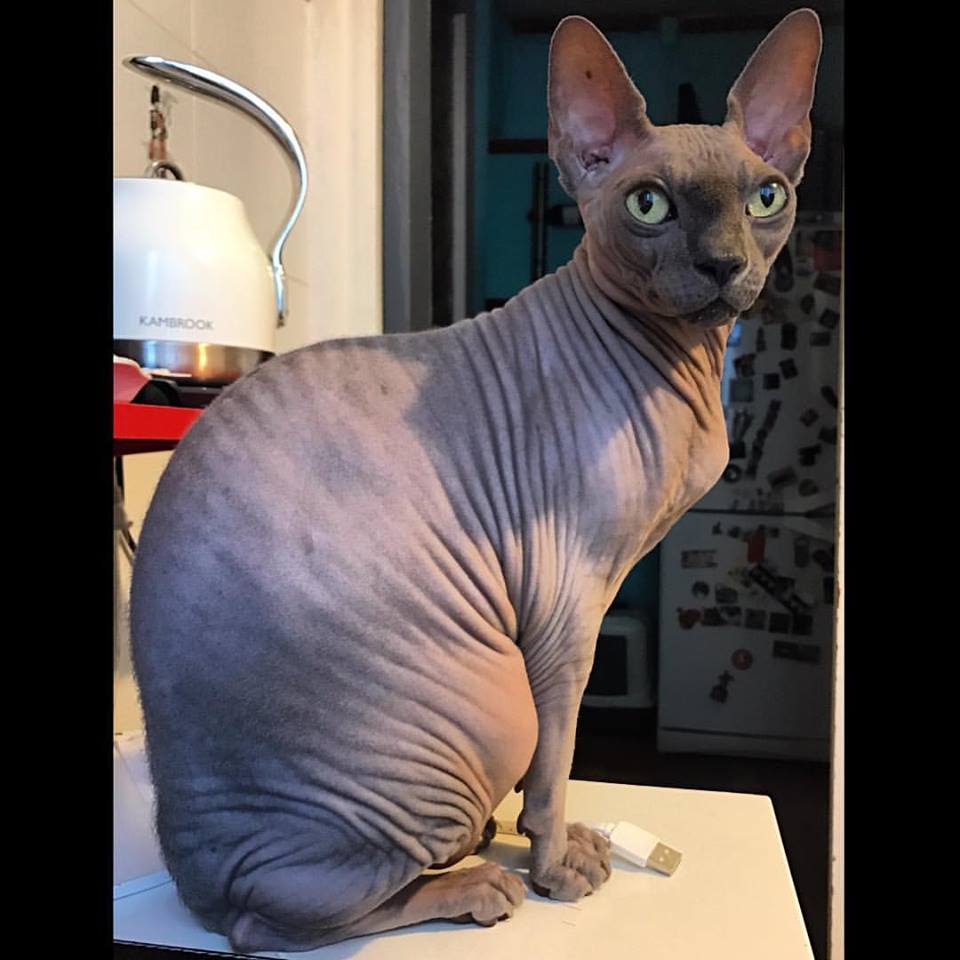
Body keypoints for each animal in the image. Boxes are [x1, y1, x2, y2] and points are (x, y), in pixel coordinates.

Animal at [130, 9, 822, 953]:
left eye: (766, 199)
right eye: (649, 204)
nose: (723, 265)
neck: (679, 362)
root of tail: (190, 875)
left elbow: (551, 771)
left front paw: (546, 840)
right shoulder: (567, 599)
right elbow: (560, 759)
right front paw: (556, 865)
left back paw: (478, 844)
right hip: (486, 706)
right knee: (276, 917)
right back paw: (476, 883)